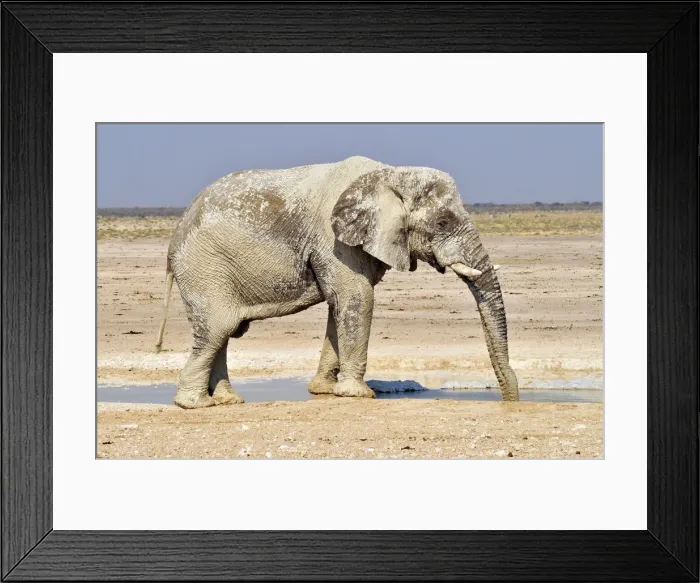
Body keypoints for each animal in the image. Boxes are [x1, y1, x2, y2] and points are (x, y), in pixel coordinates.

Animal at [155, 155, 518, 408]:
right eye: (443, 222)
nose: (511, 402)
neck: (390, 174)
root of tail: (174, 240)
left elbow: (340, 305)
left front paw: (326, 391)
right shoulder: (333, 240)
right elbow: (358, 298)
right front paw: (358, 394)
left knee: (224, 333)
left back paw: (228, 401)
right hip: (204, 269)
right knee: (217, 330)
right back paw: (194, 404)